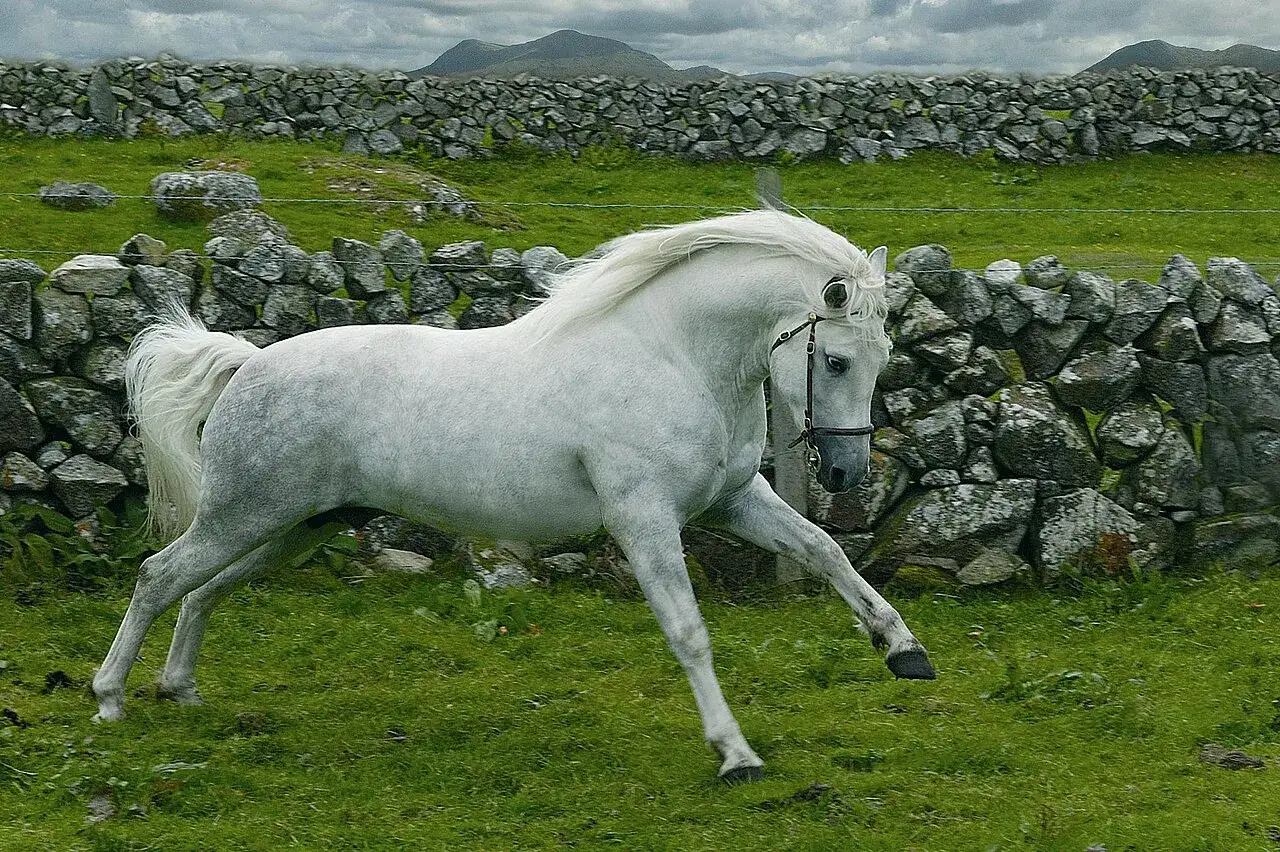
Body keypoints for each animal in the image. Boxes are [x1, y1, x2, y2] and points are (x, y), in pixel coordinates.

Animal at [92, 209, 935, 782]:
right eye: (835, 360)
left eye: (883, 355)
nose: (846, 475)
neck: (672, 356)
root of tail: (249, 363)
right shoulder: (644, 518)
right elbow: (690, 632)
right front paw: (735, 754)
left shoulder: (733, 501)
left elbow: (825, 553)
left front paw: (904, 651)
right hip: (247, 515)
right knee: (161, 576)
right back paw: (109, 699)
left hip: (293, 528)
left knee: (205, 590)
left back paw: (180, 690)